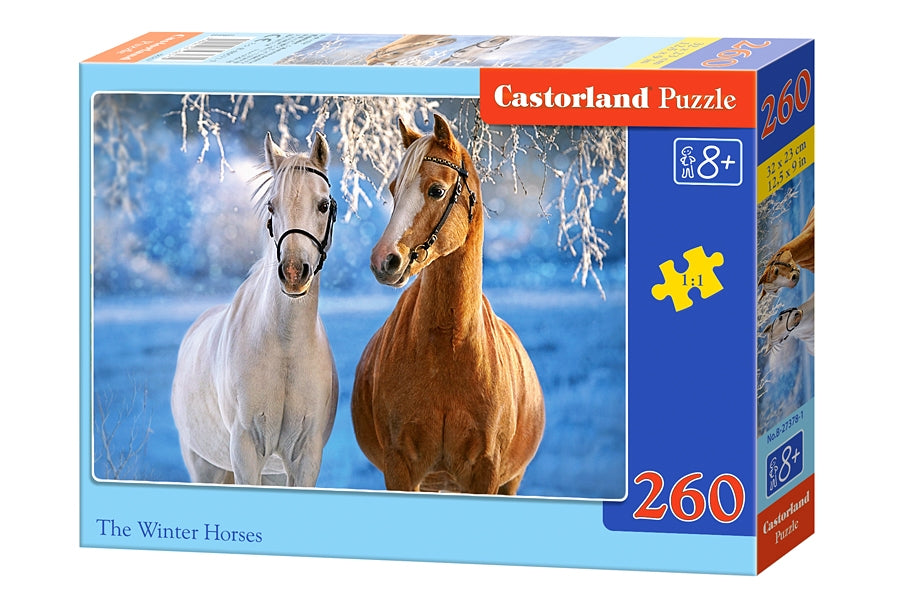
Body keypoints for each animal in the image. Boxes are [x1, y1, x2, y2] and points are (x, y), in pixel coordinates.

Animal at [170, 131, 339, 487]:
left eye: (323, 204)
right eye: (272, 205)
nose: (293, 272)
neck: (286, 349)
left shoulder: (305, 458)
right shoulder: (246, 452)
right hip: (205, 467)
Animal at [350, 113, 545, 495]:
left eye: (436, 190)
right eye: (393, 189)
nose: (384, 261)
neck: (448, 347)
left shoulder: (486, 472)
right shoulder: (400, 469)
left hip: (510, 481)